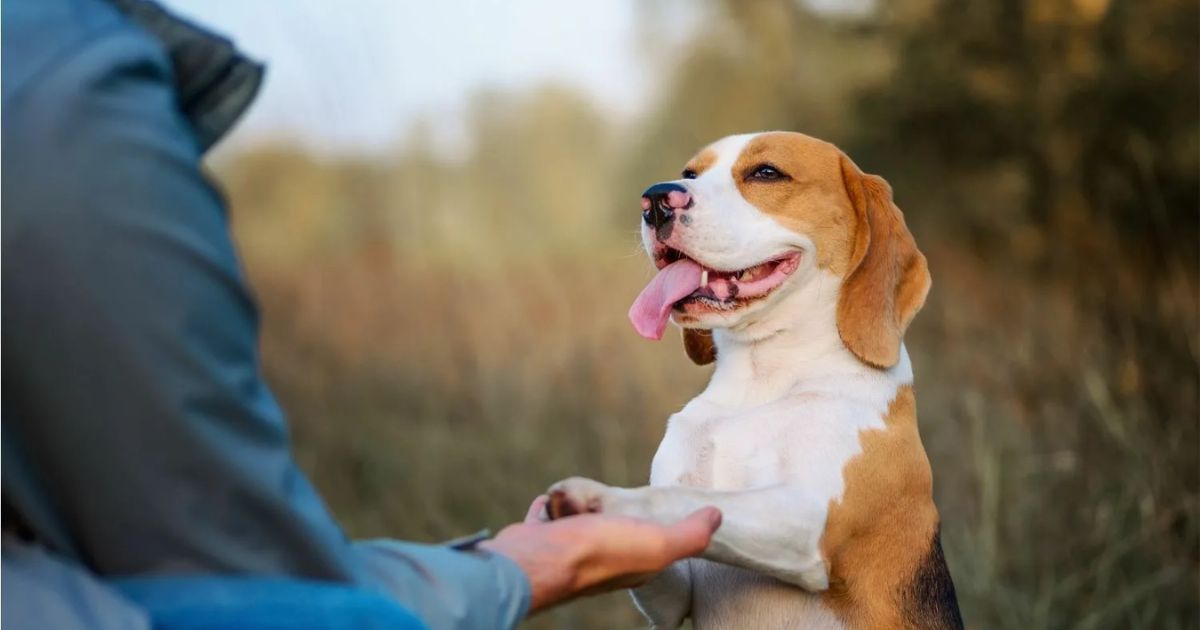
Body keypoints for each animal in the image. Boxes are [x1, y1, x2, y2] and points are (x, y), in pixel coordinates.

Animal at [549, 130, 960, 624]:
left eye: (766, 173)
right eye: (690, 173)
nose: (655, 201)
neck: (761, 380)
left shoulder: (806, 519)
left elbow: (682, 500)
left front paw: (600, 500)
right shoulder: (674, 597)